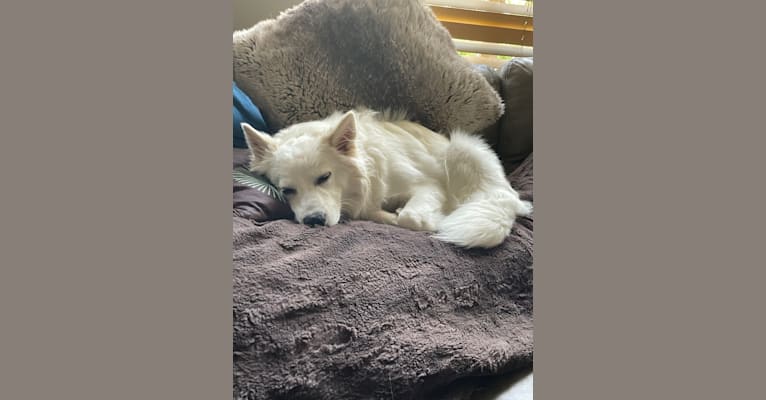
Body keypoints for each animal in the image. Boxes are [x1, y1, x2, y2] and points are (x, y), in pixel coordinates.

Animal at [243, 109, 532, 247]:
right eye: (287, 190)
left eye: (324, 177)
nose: (313, 221)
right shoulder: (367, 206)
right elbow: (382, 215)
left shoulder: (428, 185)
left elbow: (410, 217)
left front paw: (432, 220)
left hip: (462, 149)